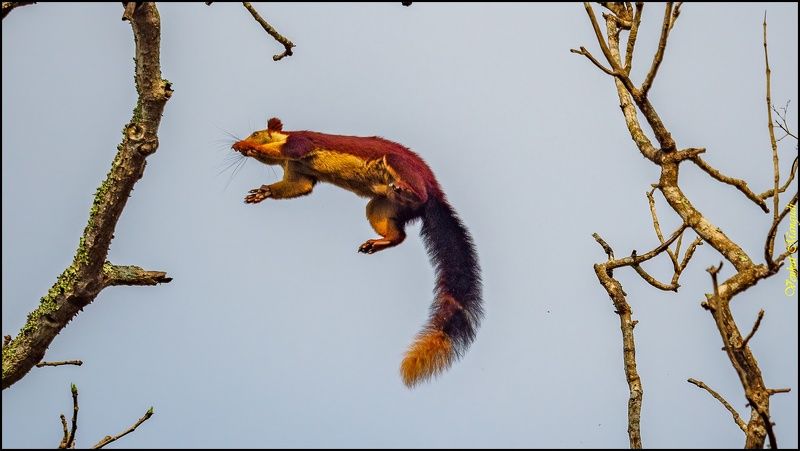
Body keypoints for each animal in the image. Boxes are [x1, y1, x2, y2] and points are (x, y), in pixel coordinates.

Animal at [232, 117, 482, 387]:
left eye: (256, 133)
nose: (241, 143)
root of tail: (434, 194)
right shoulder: (299, 173)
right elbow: (298, 187)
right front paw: (262, 192)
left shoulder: (300, 143)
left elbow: (290, 151)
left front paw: (246, 146)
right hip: (381, 207)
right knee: (398, 235)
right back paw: (377, 243)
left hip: (401, 166)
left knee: (415, 190)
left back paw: (407, 189)